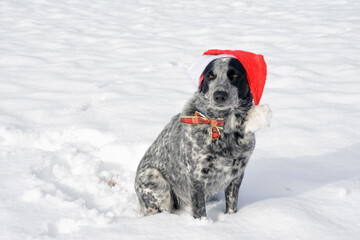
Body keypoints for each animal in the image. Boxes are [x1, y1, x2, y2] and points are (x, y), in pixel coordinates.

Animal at [135, 54, 270, 219]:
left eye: (234, 75)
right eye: (210, 76)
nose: (219, 95)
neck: (222, 126)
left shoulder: (236, 174)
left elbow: (232, 204)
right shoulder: (197, 176)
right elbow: (199, 210)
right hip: (154, 179)